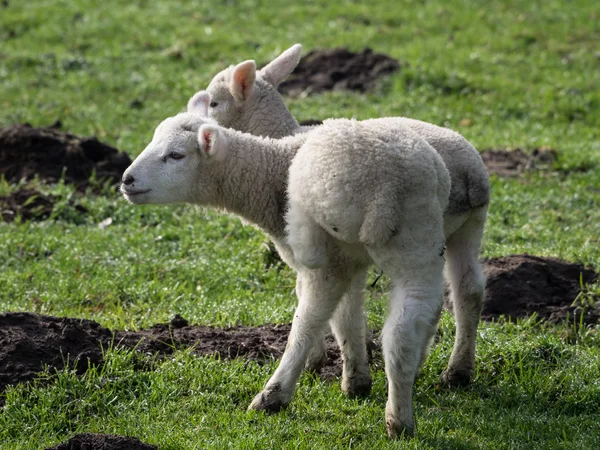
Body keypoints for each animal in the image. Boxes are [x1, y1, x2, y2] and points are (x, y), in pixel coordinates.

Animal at [120, 104, 450, 436]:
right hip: (417, 241)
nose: (126, 179)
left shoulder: (333, 259)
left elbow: (334, 316)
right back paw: (401, 415)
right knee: (404, 330)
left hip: (329, 249)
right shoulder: (354, 263)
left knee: (308, 321)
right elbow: (350, 317)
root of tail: (386, 190)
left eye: (176, 155)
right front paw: (357, 379)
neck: (271, 171)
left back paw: (273, 395)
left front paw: (331, 370)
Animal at [195, 43, 490, 386]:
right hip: (467, 227)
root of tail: (472, 176)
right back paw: (457, 369)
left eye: (214, 102)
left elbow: (313, 297)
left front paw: (316, 358)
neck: (279, 137)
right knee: (468, 290)